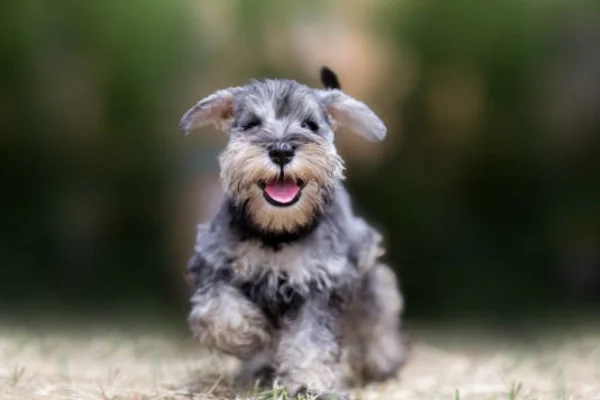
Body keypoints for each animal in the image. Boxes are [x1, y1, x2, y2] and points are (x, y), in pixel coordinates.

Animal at [180, 67, 406, 398]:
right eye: (251, 124)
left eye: (310, 125)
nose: (281, 150)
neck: (278, 232)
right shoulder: (215, 263)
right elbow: (219, 312)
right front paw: (250, 336)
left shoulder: (319, 284)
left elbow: (310, 340)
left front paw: (309, 383)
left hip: (368, 279)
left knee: (377, 317)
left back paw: (384, 361)